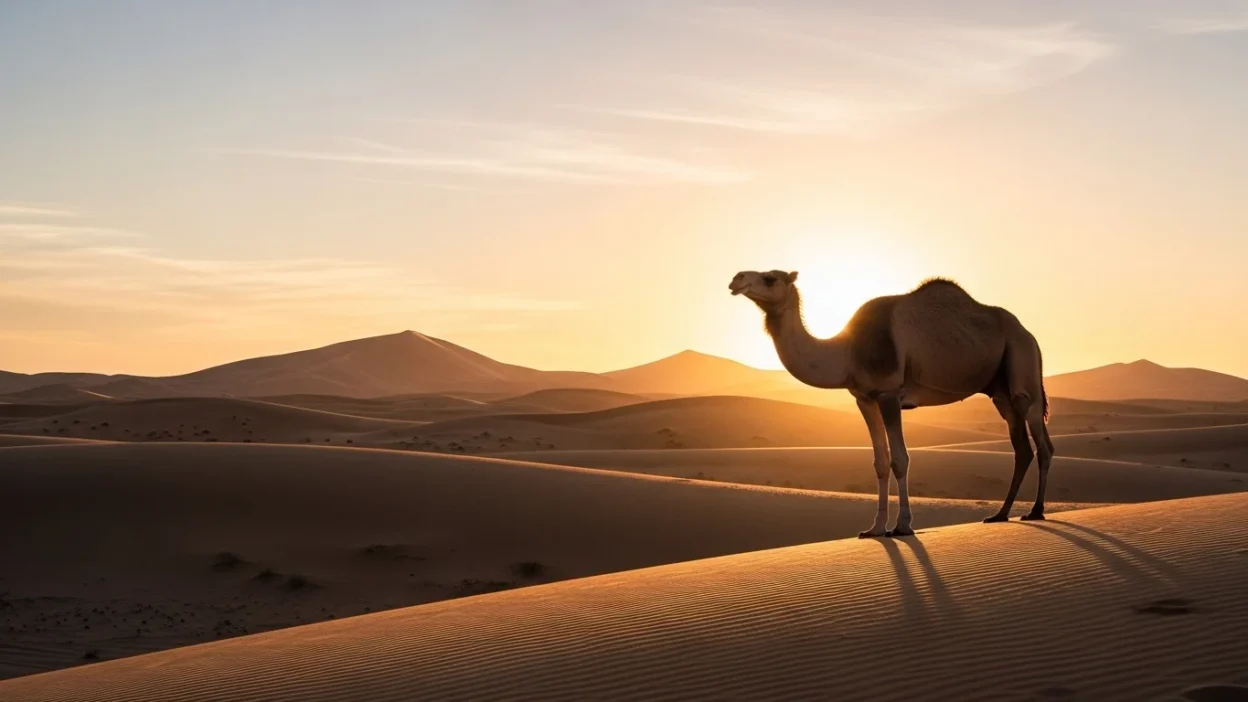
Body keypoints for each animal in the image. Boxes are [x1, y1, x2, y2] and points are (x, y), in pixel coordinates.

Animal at [730, 270, 1053, 537]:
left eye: (770, 278)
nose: (736, 279)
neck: (848, 351)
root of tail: (1027, 332)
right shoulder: (864, 398)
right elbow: (880, 462)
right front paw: (874, 529)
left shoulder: (888, 394)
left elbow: (900, 459)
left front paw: (903, 526)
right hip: (999, 391)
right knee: (1022, 447)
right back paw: (1000, 514)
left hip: (1023, 363)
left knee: (1041, 438)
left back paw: (1035, 511)